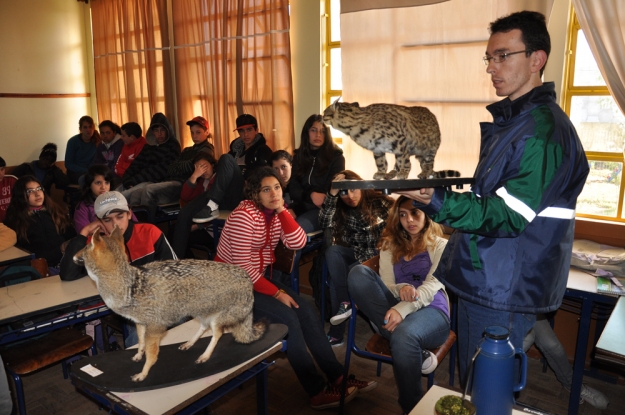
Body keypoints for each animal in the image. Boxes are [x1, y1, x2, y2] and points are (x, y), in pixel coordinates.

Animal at [73, 228, 266, 384]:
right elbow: (141, 343)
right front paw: (138, 355)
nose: (73, 256)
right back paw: (189, 344)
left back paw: (205, 356)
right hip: (201, 315)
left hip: (215, 320)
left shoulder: (155, 328)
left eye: (84, 249)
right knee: (204, 328)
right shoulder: (141, 324)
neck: (130, 286)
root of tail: (248, 279)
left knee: (218, 334)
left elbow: (151, 356)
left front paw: (143, 374)